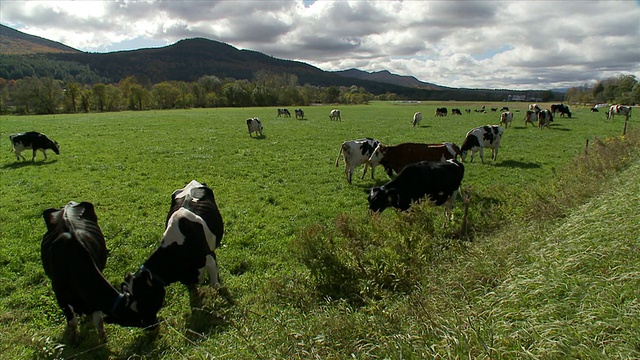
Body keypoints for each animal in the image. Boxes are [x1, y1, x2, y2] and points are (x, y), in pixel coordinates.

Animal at [43, 201, 146, 342]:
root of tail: (68, 204)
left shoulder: (94, 302)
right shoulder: (61, 298)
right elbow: (72, 321)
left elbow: (99, 321)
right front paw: (74, 338)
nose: (155, 326)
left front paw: (103, 339)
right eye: (136, 315)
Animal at [121, 180, 229, 326]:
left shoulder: (210, 257)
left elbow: (215, 285)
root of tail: (193, 182)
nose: (149, 325)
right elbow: (192, 291)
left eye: (146, 298)